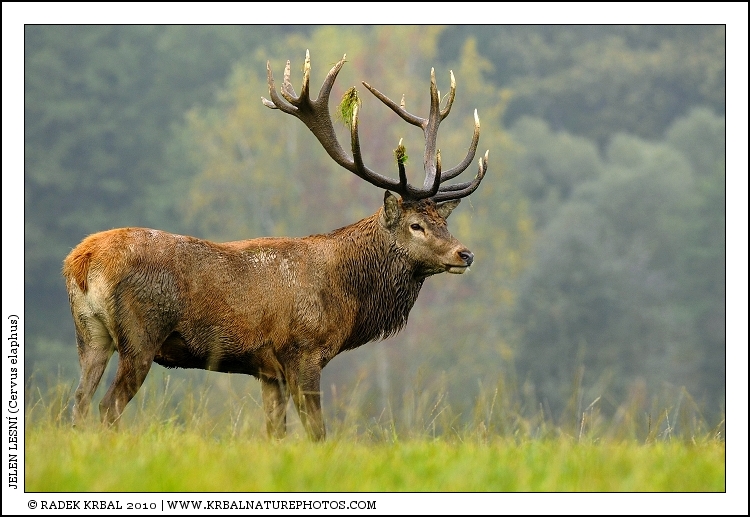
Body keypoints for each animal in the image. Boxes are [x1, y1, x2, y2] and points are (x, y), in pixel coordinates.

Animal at [63, 50, 488, 441]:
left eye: (444, 222)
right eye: (416, 225)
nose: (465, 254)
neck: (345, 297)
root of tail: (80, 261)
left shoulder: (268, 371)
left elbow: (275, 434)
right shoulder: (302, 352)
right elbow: (317, 431)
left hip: (91, 335)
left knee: (79, 401)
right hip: (141, 334)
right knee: (107, 405)